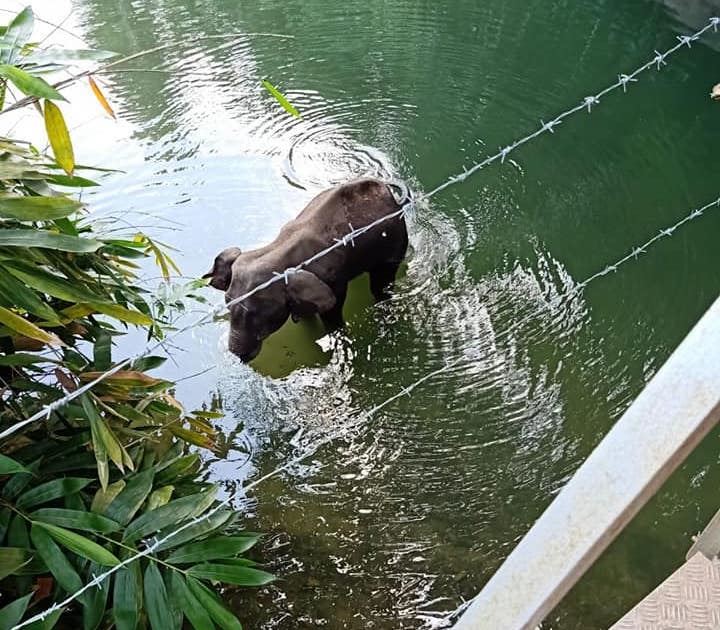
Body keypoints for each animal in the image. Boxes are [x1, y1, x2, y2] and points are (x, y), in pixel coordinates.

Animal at [204, 178, 409, 361]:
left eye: (257, 315)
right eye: (227, 303)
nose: (239, 357)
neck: (277, 249)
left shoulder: (332, 279)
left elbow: (333, 310)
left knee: (381, 283)